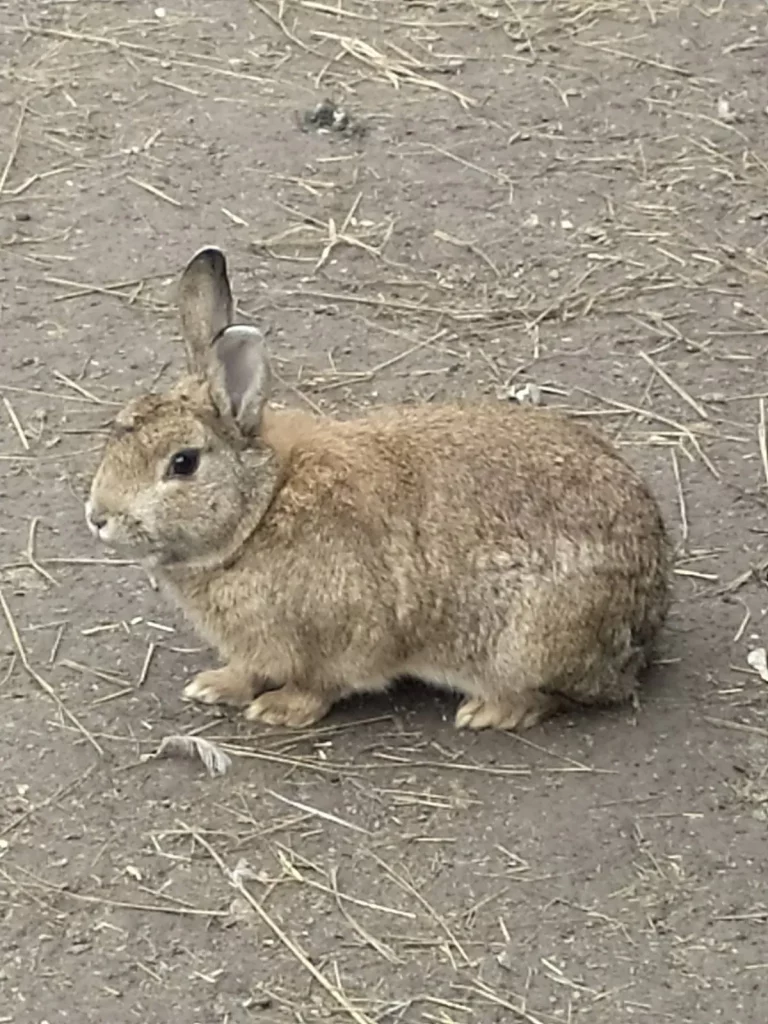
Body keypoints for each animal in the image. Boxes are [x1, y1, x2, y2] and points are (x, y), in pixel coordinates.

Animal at [87, 243, 671, 733]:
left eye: (182, 464)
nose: (98, 517)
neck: (261, 509)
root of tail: (647, 614)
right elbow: (249, 668)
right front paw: (216, 686)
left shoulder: (340, 636)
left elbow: (319, 683)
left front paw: (279, 709)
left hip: (527, 642)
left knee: (549, 694)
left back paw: (486, 712)